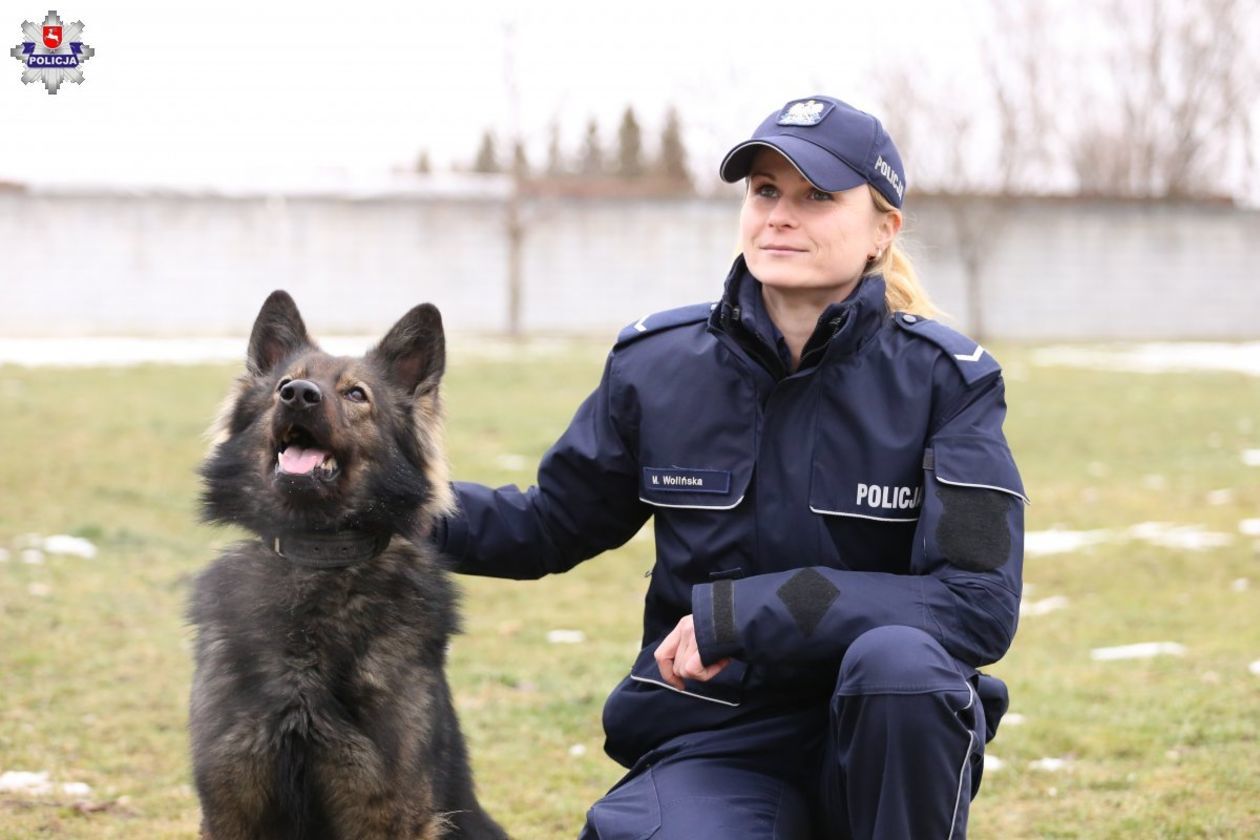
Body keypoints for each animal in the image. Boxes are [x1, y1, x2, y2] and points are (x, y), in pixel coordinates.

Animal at [189, 290, 504, 840]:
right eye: (283, 385)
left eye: (356, 394)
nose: (298, 395)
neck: (315, 561)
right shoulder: (231, 805)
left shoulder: (387, 810)